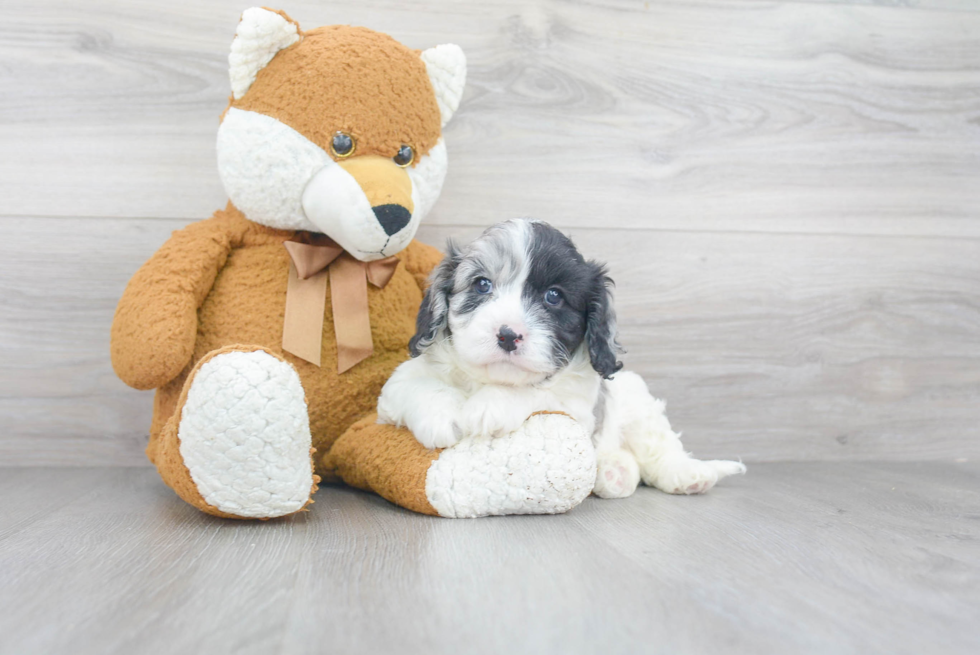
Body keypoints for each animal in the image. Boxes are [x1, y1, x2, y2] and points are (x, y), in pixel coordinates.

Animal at [378, 219, 748, 498]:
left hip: (639, 403)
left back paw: (688, 475)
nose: (508, 334)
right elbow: (419, 387)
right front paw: (442, 416)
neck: (488, 379)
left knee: (659, 449)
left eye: (553, 296)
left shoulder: (577, 406)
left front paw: (491, 405)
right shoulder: (395, 388)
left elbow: (538, 392)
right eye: (482, 285)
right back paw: (614, 473)